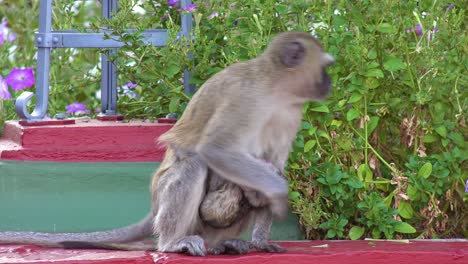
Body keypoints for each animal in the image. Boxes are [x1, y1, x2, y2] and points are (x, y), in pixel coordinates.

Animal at [0, 31, 336, 256]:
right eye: (325, 67)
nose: (330, 83)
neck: (275, 88)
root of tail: (153, 205)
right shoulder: (246, 100)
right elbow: (217, 150)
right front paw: (279, 193)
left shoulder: (290, 113)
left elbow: (274, 165)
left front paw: (261, 239)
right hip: (170, 202)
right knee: (195, 164)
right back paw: (173, 243)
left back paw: (227, 243)